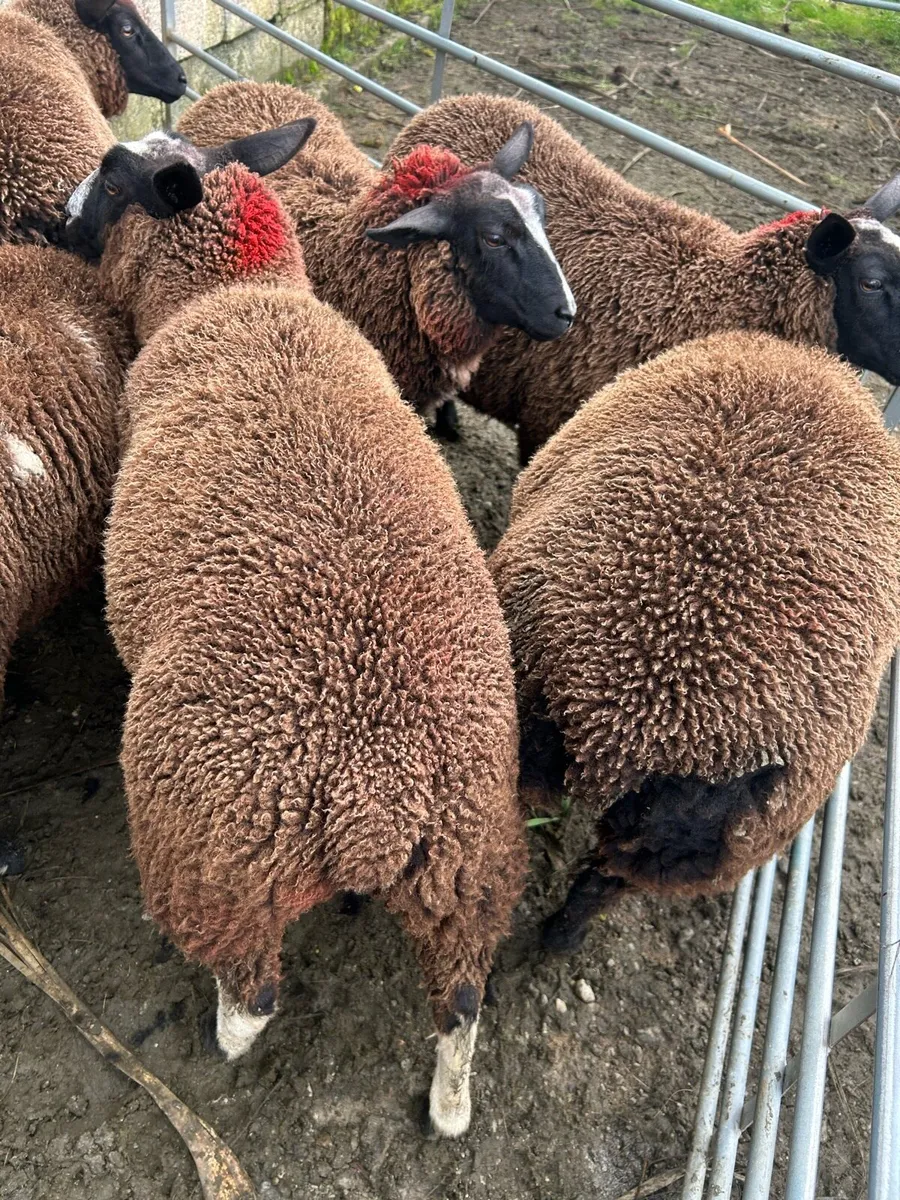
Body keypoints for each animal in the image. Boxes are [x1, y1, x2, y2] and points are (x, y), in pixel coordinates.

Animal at [93, 125, 526, 1137]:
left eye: (114, 180)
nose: (57, 216)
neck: (235, 295)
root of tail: (376, 802)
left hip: (215, 863)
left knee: (254, 992)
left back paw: (219, 1041)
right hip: (470, 867)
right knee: (463, 1002)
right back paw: (449, 1109)